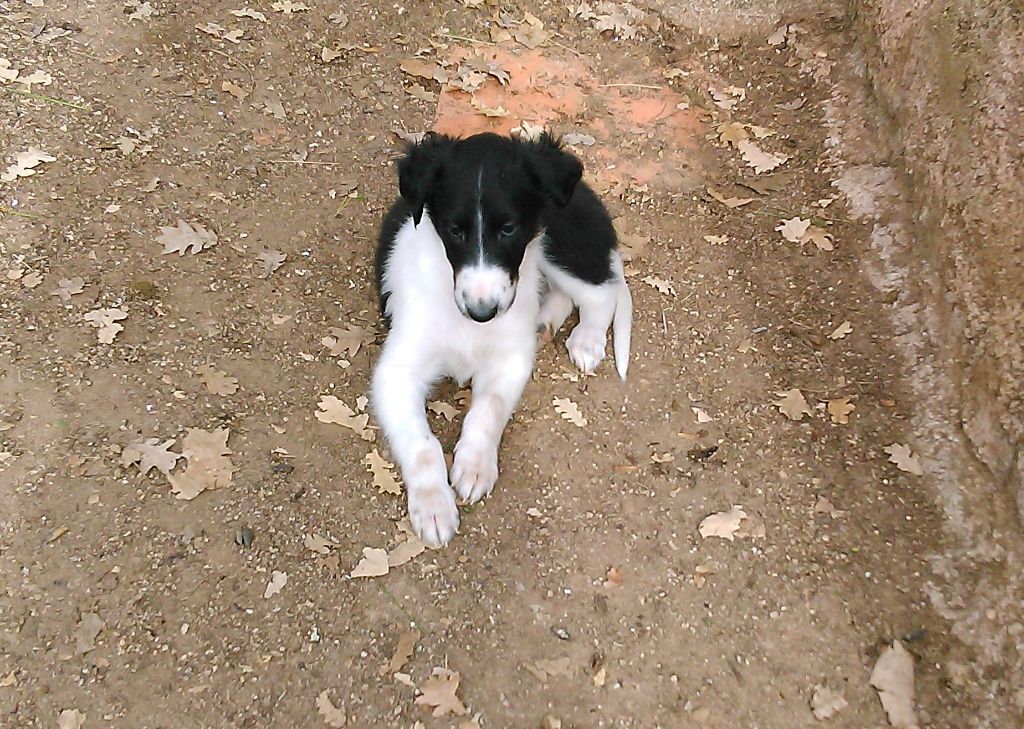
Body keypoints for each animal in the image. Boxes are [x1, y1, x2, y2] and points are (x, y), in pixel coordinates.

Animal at [371, 131, 632, 546]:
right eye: (454, 230)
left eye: (509, 229)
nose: (483, 312)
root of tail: (588, 194)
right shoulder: (396, 373)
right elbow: (422, 445)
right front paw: (433, 505)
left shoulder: (509, 360)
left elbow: (488, 410)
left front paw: (475, 466)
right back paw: (544, 321)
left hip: (557, 238)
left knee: (600, 292)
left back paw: (587, 340)